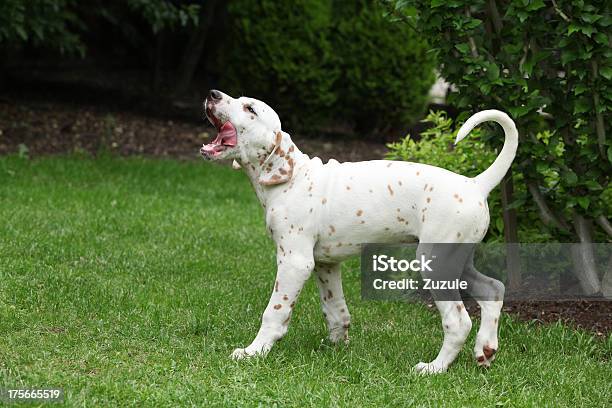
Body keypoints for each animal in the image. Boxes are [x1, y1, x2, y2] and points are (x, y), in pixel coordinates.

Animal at [201, 89, 516, 372]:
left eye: (250, 109)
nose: (213, 93)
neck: (291, 179)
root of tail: (476, 183)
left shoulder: (295, 261)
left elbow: (274, 312)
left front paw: (255, 351)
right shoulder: (325, 264)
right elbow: (336, 310)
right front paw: (334, 348)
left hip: (436, 264)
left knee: (459, 321)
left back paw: (435, 367)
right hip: (457, 261)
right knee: (493, 289)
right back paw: (485, 351)